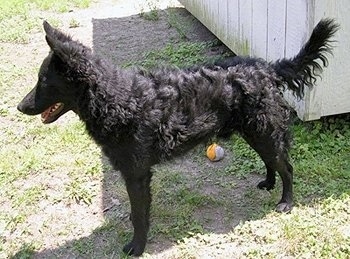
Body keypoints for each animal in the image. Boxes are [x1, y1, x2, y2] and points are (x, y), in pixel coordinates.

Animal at [17, 19, 338, 256]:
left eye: (43, 80)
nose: (19, 107)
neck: (119, 100)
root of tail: (266, 68)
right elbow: (137, 212)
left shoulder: (137, 174)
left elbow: (140, 215)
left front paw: (137, 247)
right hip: (255, 132)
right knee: (273, 163)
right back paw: (268, 184)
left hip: (264, 132)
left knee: (288, 168)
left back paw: (286, 202)